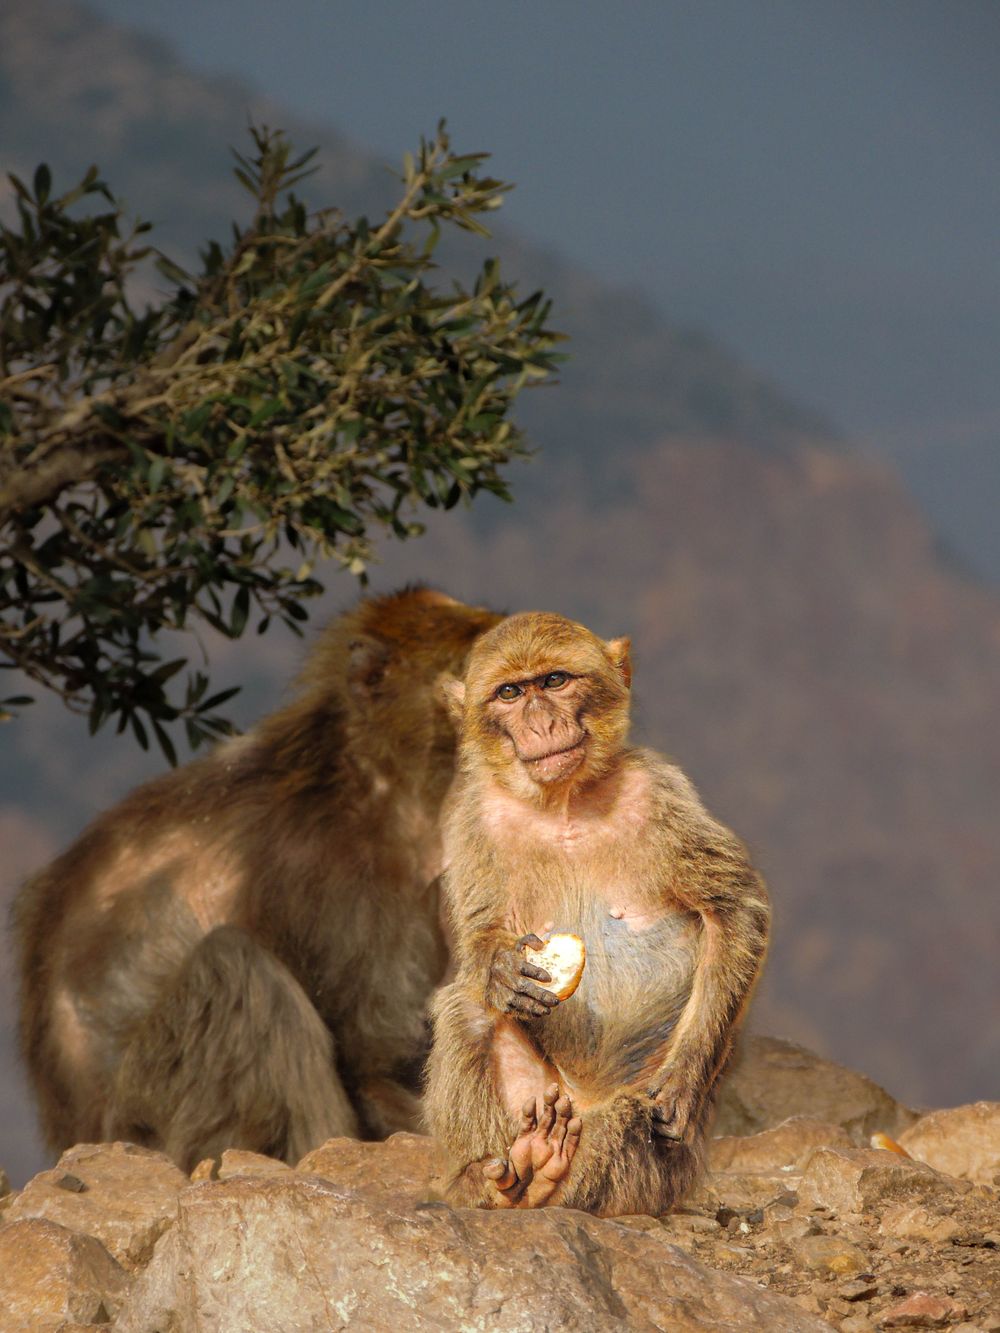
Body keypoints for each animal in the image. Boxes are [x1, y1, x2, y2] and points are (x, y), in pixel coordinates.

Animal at [13, 587, 501, 1172]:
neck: (377, 775)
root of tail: (72, 1132)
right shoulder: (328, 872)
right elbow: (372, 1059)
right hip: (145, 1122)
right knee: (235, 972)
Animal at [425, 611, 770, 1216]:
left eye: (555, 681)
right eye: (510, 693)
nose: (541, 722)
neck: (563, 802)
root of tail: (580, 1099)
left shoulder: (658, 792)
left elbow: (734, 910)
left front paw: (683, 1081)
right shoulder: (474, 814)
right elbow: (480, 937)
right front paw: (501, 971)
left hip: (658, 1175)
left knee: (632, 1118)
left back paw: (550, 1182)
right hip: (536, 1100)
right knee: (467, 1011)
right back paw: (504, 1180)